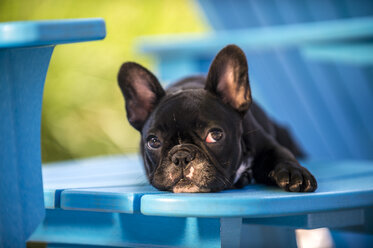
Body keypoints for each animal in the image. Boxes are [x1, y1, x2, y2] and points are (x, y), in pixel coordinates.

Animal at [117, 44, 316, 194]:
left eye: (215, 135)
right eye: (153, 142)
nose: (181, 156)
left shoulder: (266, 144)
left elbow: (281, 154)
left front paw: (295, 173)